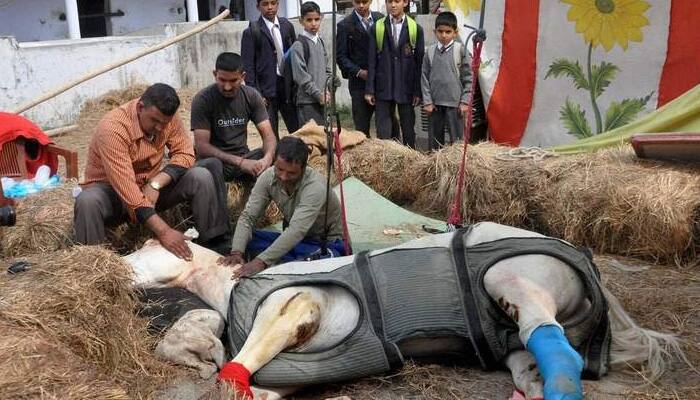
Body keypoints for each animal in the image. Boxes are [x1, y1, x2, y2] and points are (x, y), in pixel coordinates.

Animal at [126, 222, 684, 400]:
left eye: (146, 247)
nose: (117, 269)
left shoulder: (299, 305)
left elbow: (240, 368)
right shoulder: (290, 375)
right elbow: (259, 386)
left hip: (512, 281)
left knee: (560, 355)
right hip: (515, 346)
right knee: (540, 371)